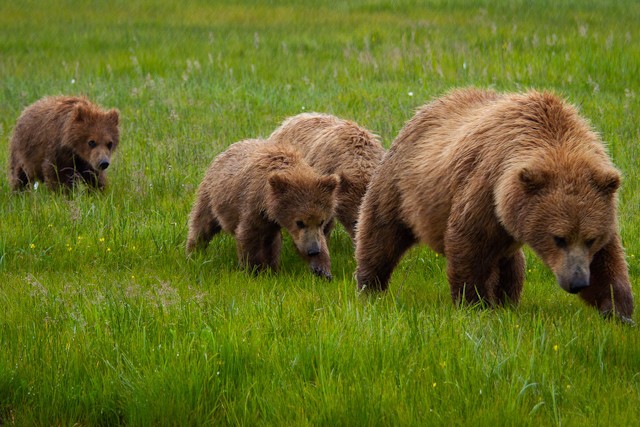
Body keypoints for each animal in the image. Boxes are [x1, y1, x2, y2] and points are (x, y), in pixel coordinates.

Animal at [186, 138, 340, 280]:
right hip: (211, 196)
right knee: (202, 223)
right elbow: (248, 235)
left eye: (321, 221)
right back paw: (194, 251)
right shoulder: (252, 205)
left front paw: (322, 270)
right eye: (299, 222)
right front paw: (253, 270)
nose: (313, 250)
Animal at [355, 88, 633, 322]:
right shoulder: (486, 186)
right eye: (559, 238)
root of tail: (425, 107)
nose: (577, 282)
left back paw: (507, 300)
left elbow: (608, 260)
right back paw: (370, 286)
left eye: (590, 239)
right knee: (381, 233)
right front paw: (475, 304)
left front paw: (617, 311)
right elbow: (469, 243)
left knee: (511, 262)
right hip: (401, 187)